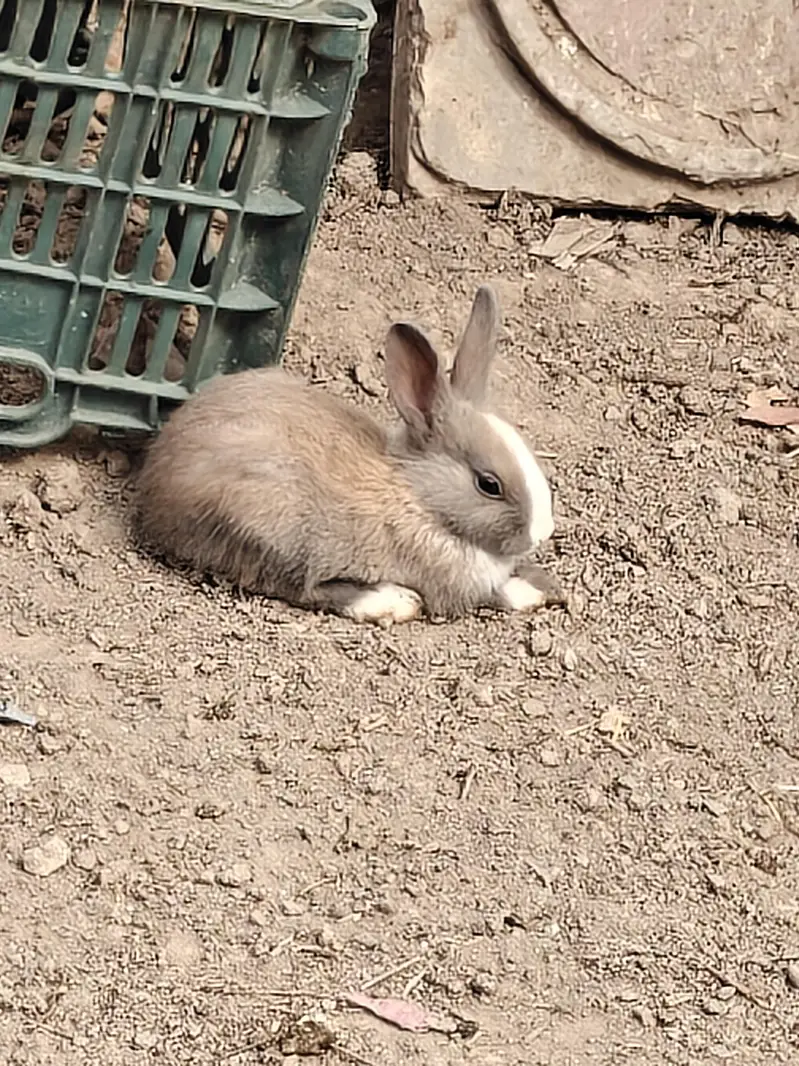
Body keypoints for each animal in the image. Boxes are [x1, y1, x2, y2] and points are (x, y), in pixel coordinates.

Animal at [135, 285, 555, 624]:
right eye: (489, 484)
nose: (541, 533)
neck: (418, 499)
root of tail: (153, 486)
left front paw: (540, 583)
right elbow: (491, 593)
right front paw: (531, 592)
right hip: (265, 527)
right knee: (301, 588)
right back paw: (393, 601)